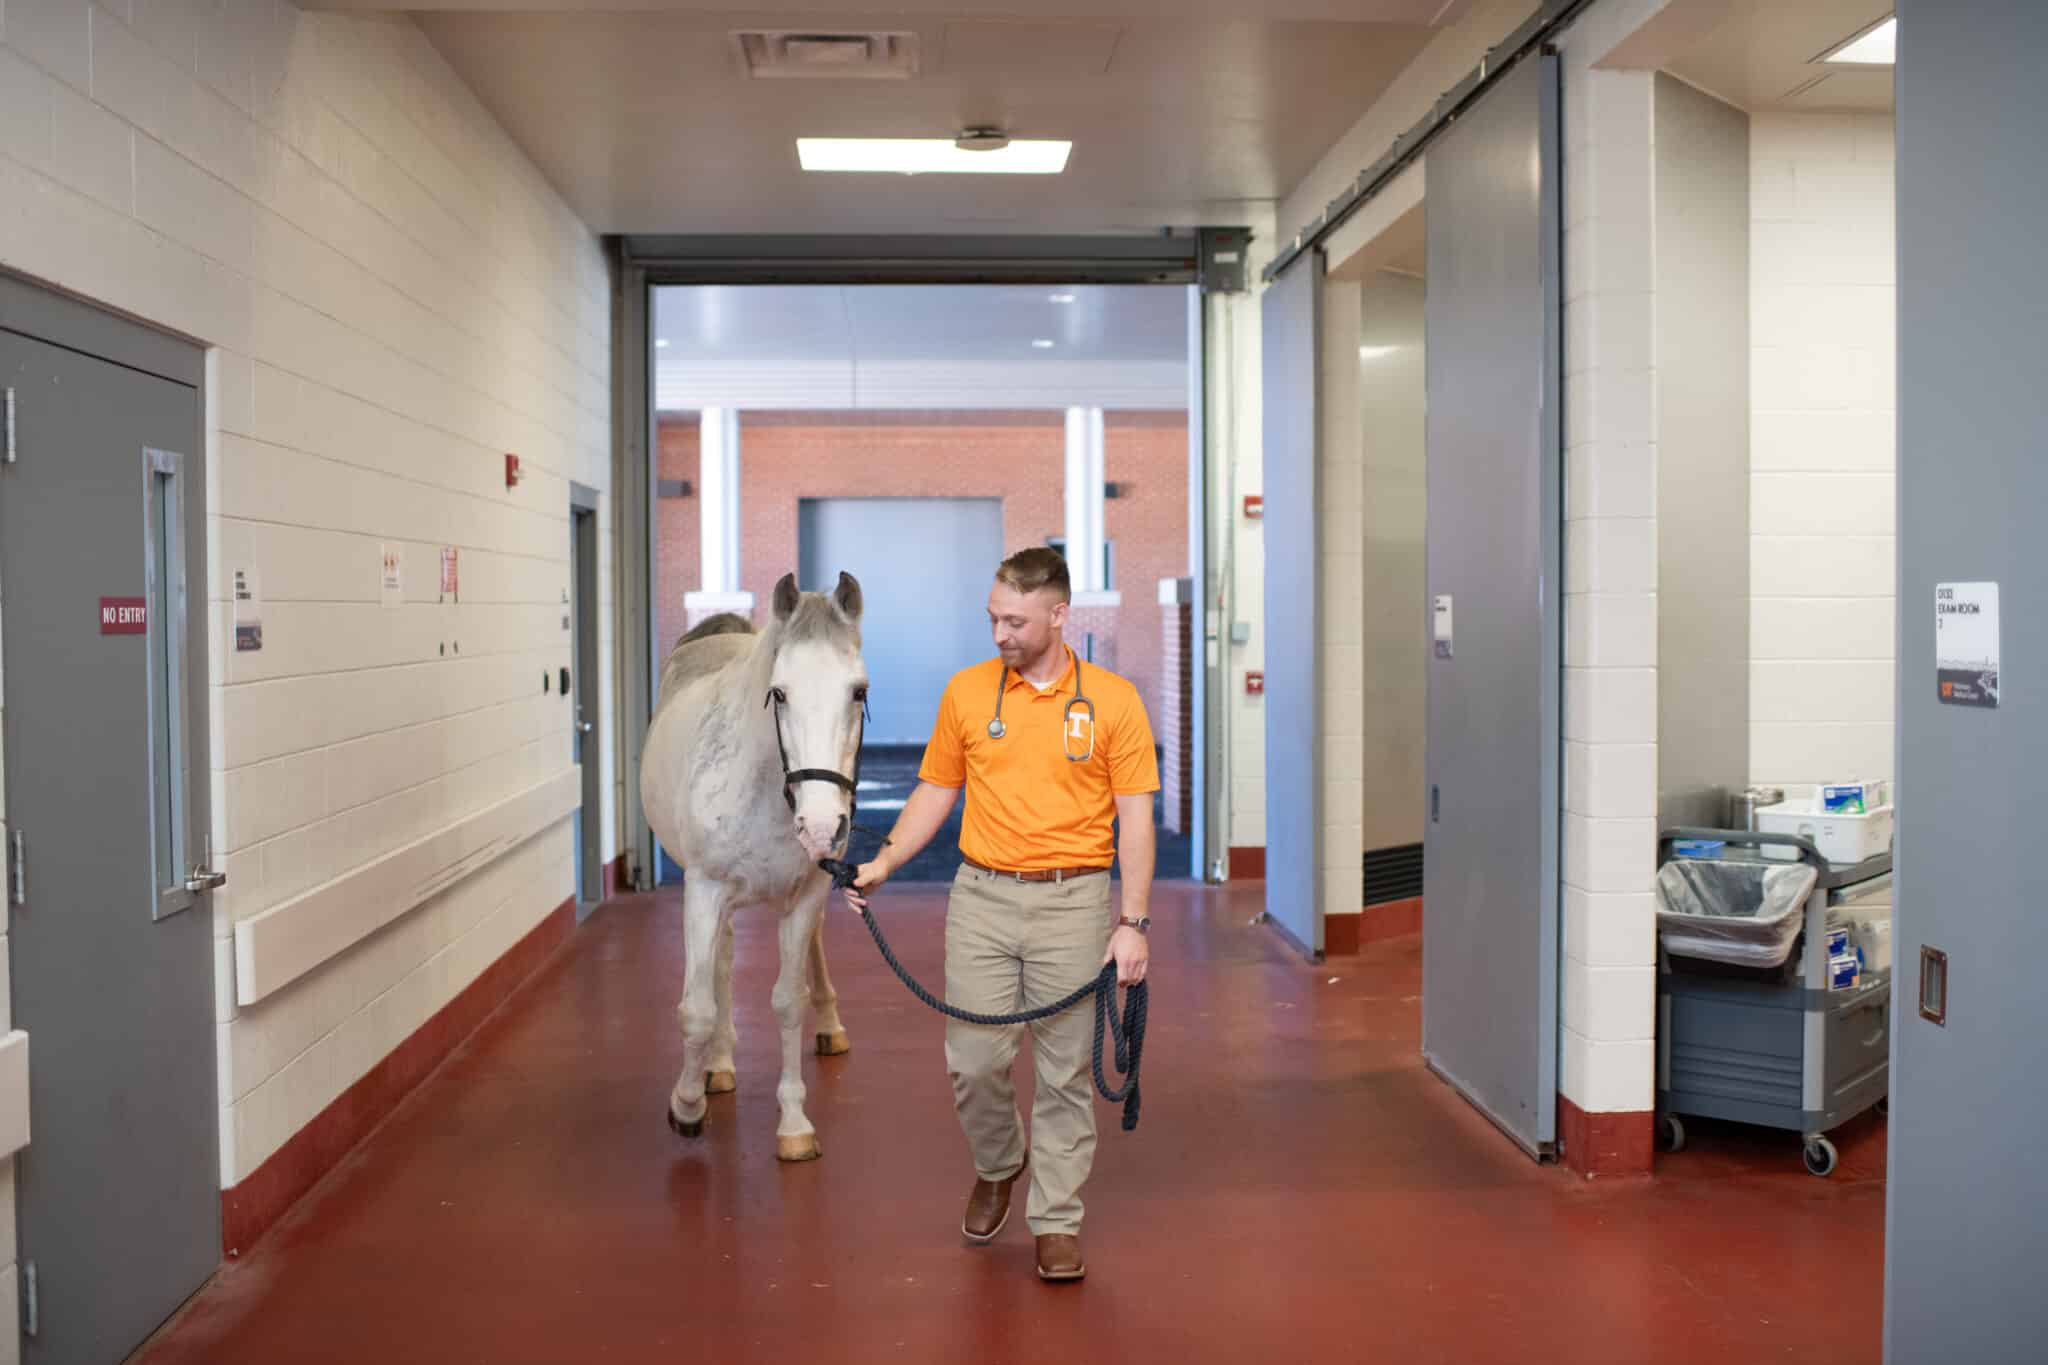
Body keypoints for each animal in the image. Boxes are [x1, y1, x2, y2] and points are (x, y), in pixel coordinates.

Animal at [639, 571, 868, 1162]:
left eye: (859, 691)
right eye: (780, 692)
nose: (821, 823)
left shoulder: (807, 894)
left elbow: (789, 1002)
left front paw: (794, 1124)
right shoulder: (704, 891)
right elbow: (697, 1008)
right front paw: (687, 1106)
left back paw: (830, 1026)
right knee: (720, 964)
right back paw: (717, 1065)